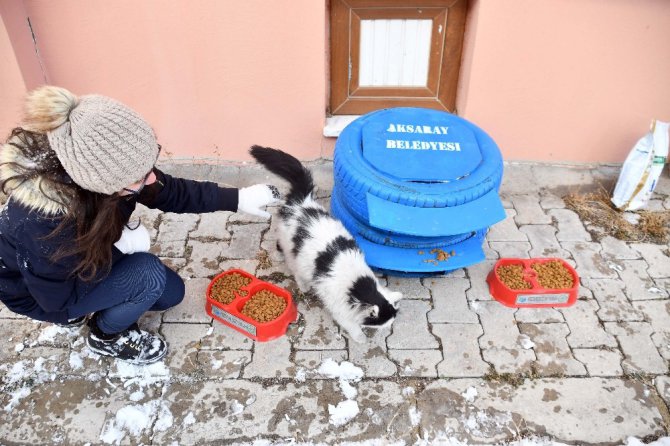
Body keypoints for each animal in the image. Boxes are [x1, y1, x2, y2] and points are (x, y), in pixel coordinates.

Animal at [251, 145, 400, 342]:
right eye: (383, 323)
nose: (390, 327)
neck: (359, 286)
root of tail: (302, 201)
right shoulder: (339, 306)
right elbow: (351, 325)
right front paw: (360, 338)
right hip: (295, 254)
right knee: (291, 262)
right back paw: (300, 281)